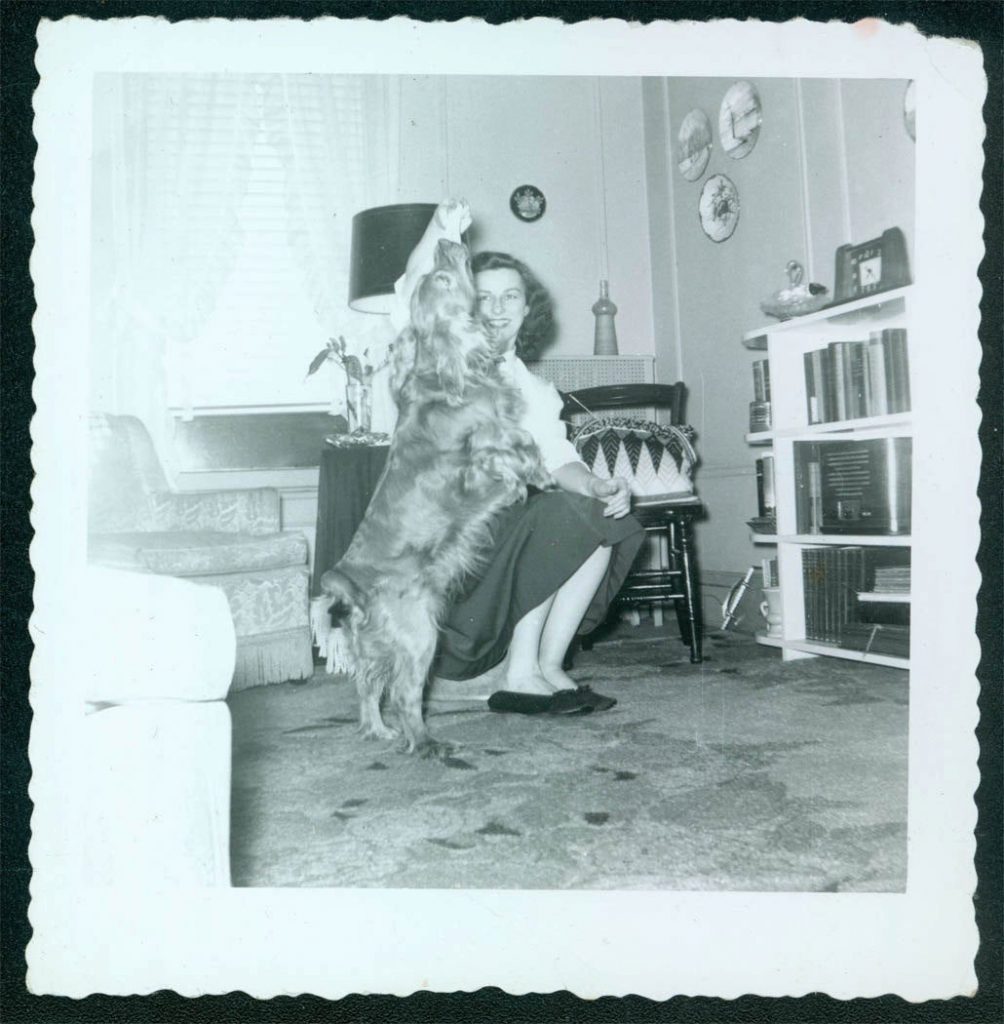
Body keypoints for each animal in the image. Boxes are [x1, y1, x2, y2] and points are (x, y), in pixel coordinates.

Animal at [321, 235, 549, 757]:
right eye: (442, 279)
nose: (446, 241)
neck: (443, 373)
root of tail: (353, 589)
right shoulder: (481, 455)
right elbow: (514, 448)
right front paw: (532, 475)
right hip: (421, 634)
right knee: (405, 694)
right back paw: (426, 744)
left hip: (379, 644)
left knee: (369, 688)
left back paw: (381, 730)